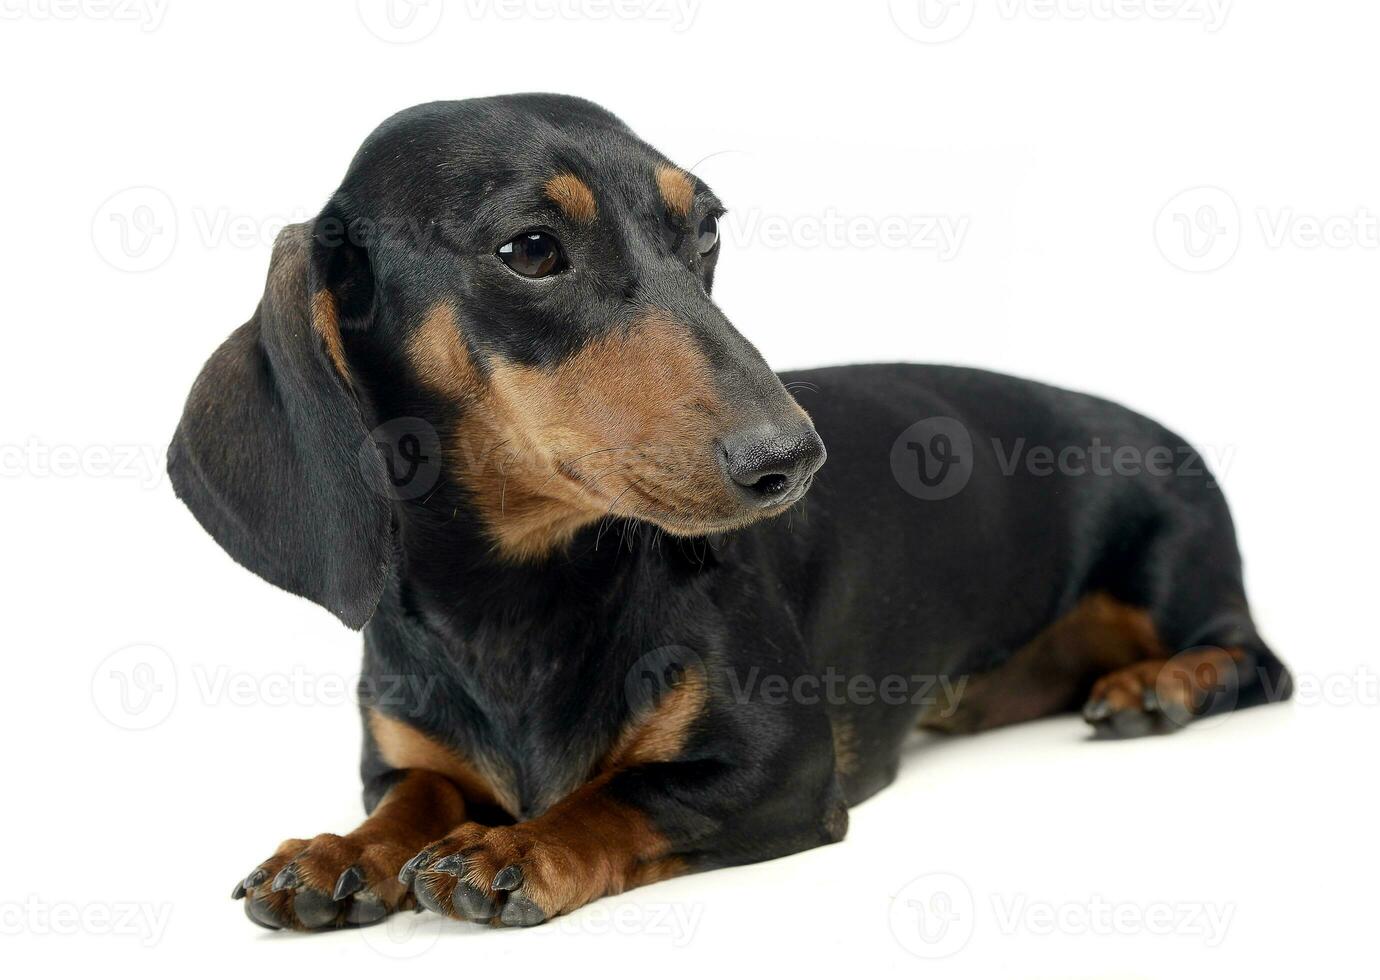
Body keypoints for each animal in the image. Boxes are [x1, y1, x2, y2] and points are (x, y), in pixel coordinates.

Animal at [169, 95, 1291, 933]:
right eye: (529, 248)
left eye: (704, 229)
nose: (789, 459)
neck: (514, 600)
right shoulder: (398, 760)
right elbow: (412, 795)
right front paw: (337, 853)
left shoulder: (779, 765)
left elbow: (623, 794)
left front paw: (517, 843)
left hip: (1171, 569)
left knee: (1255, 659)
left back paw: (1161, 685)